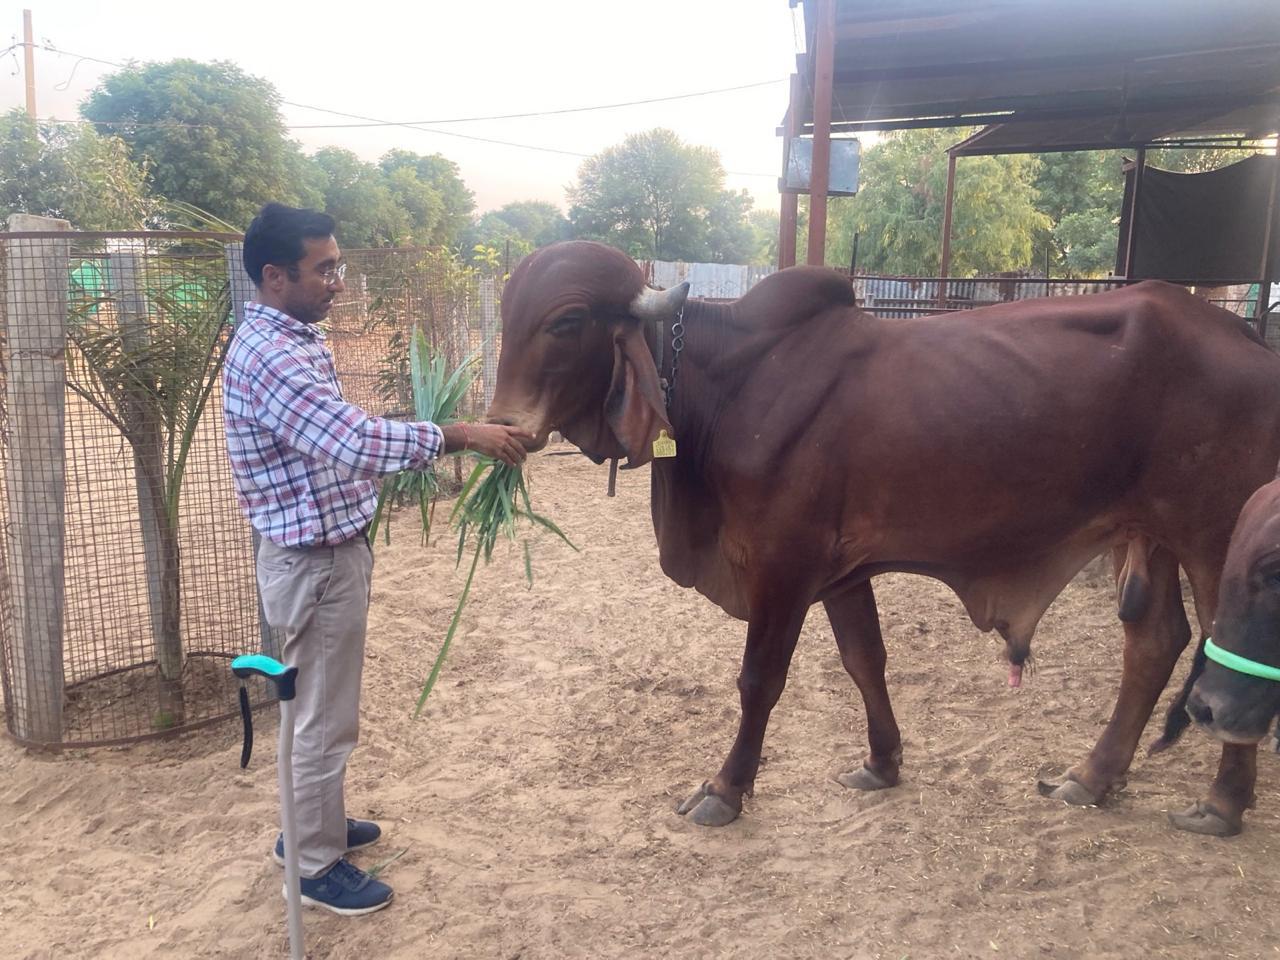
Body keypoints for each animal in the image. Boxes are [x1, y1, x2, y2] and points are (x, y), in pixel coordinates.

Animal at [486, 240, 1280, 837]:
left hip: (1216, 536)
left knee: (1229, 654)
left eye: (567, 320)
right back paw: (1092, 776)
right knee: (1155, 640)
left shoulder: (785, 563)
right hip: (1147, 531)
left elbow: (759, 681)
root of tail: (1244, 335)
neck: (728, 387)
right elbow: (865, 660)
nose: (502, 426)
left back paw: (1221, 802)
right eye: (506, 312)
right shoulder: (842, 570)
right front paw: (882, 761)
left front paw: (724, 788)